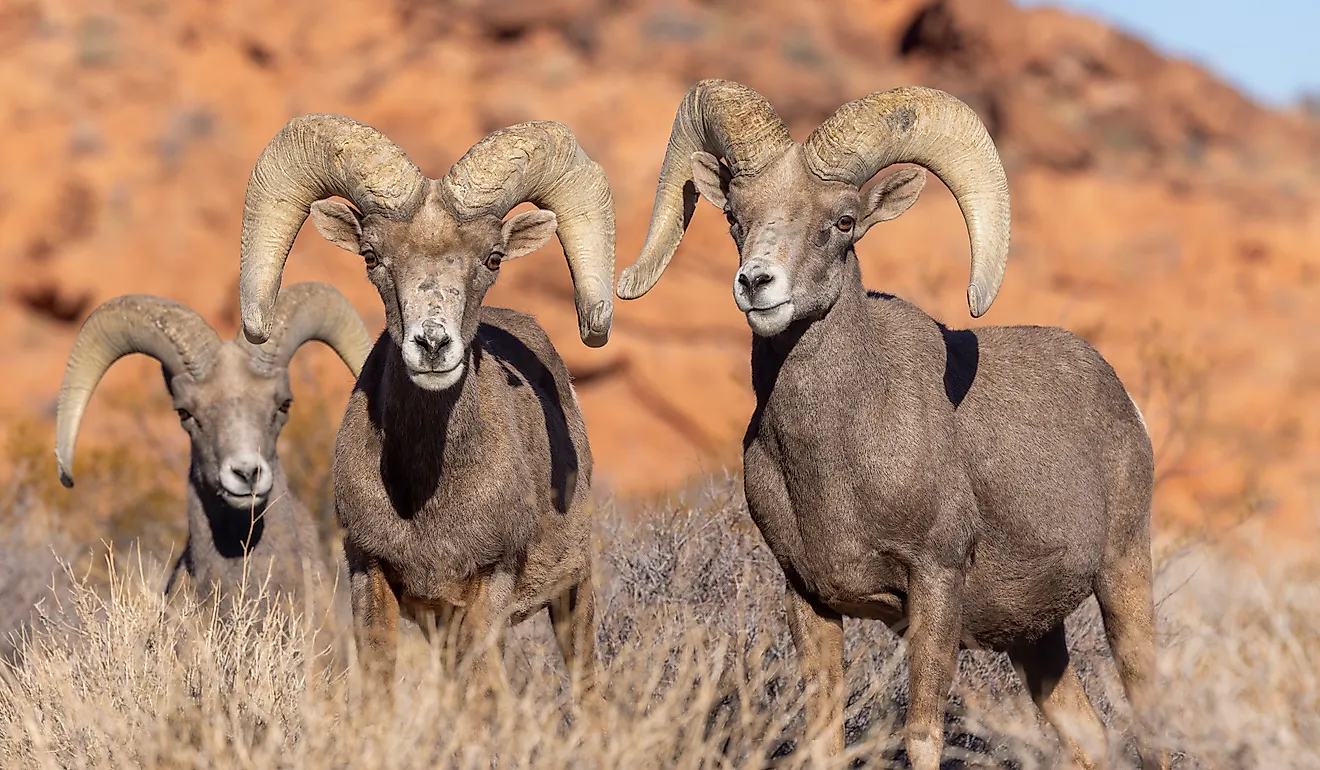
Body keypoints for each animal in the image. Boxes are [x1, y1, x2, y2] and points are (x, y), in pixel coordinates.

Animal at [235, 114, 615, 703]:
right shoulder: (371, 575)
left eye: (492, 258)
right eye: (371, 256)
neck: (426, 496)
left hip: (572, 592)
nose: (432, 345)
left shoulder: (488, 585)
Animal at [616, 79, 1165, 770]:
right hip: (1036, 639)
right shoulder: (808, 597)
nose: (756, 284)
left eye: (843, 222)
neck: (834, 460)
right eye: (736, 218)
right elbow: (823, 735)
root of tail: (1123, 400)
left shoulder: (935, 584)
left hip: (1124, 578)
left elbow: (922, 731)